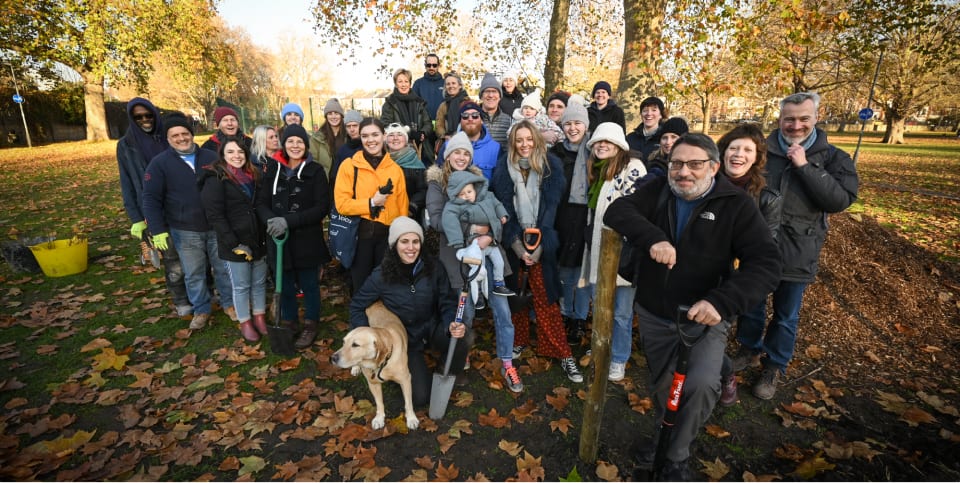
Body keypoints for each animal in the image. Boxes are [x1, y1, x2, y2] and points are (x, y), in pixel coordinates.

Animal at [332, 302, 418, 432]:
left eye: (355, 345)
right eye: (344, 342)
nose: (332, 358)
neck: (383, 363)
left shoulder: (406, 379)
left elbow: (408, 402)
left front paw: (412, 418)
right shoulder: (373, 383)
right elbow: (379, 403)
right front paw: (379, 418)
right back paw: (355, 368)